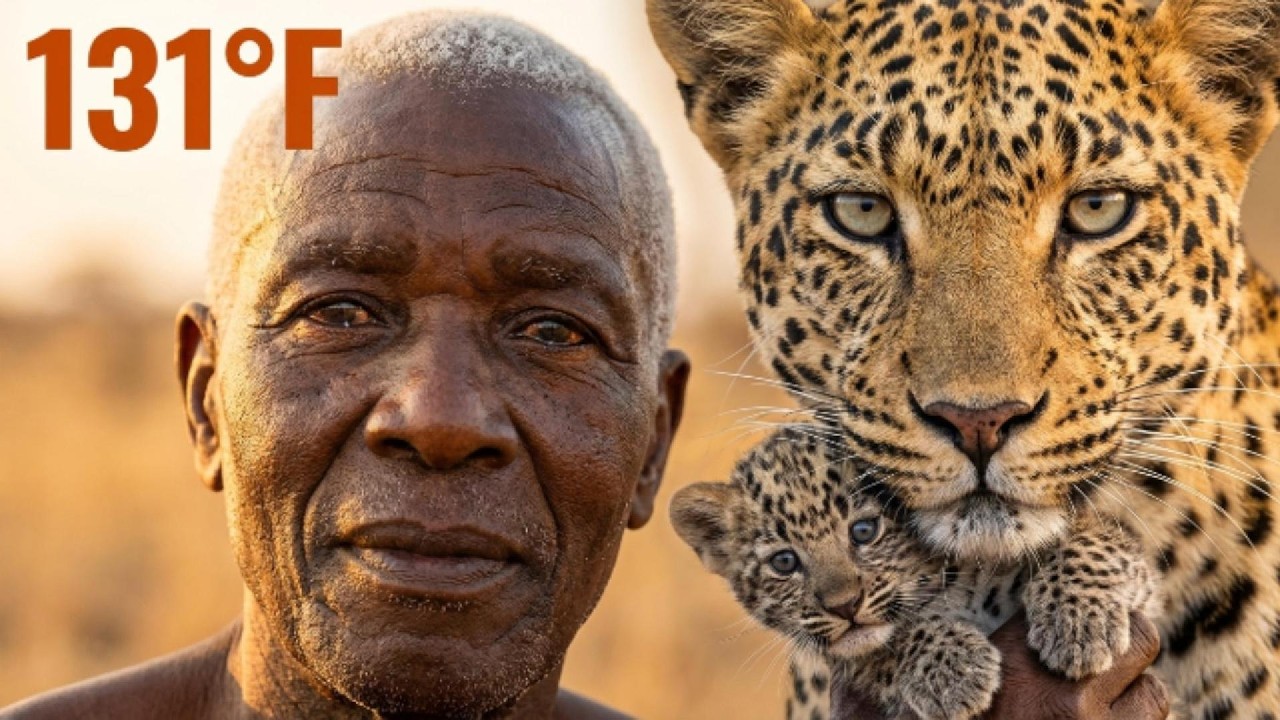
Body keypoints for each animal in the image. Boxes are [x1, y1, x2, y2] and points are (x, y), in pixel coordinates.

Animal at [671, 424, 1157, 720]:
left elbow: (1088, 544)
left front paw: (1077, 626)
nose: (844, 606)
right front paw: (954, 671)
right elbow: (882, 644)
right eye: (784, 563)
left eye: (864, 531)